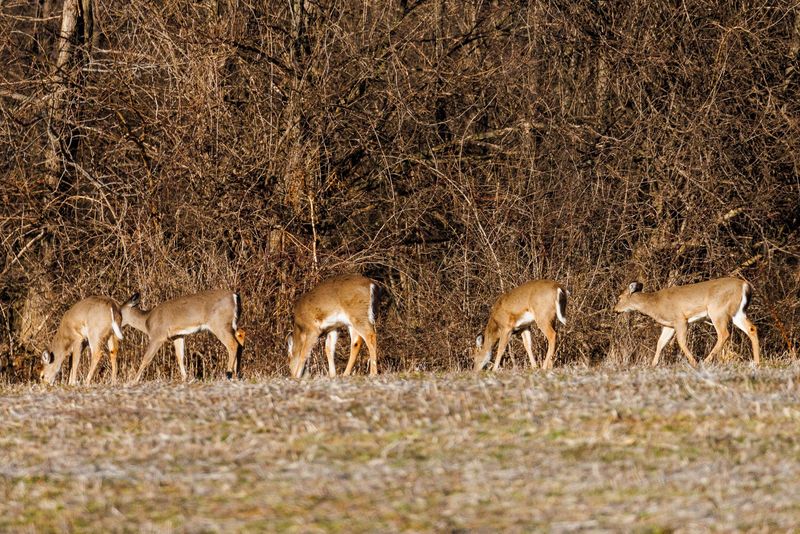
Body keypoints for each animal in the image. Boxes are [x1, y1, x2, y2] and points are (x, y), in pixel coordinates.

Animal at [612, 277, 760, 367]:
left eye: (619, 297)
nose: (614, 310)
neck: (655, 304)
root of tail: (745, 285)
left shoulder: (680, 319)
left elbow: (681, 342)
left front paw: (694, 362)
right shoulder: (670, 325)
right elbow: (660, 343)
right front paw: (653, 365)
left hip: (718, 310)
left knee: (724, 334)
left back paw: (705, 361)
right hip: (737, 312)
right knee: (752, 328)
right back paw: (757, 363)